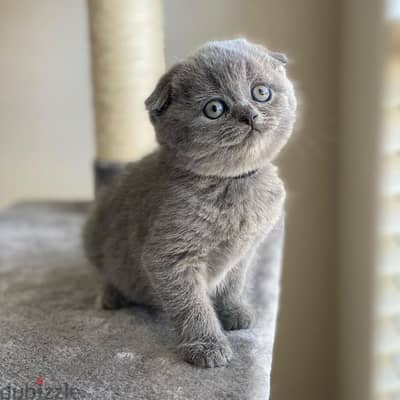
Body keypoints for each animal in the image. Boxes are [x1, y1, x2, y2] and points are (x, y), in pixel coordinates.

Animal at [83, 39, 296, 368]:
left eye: (261, 92)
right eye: (214, 109)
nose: (249, 115)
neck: (234, 183)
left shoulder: (244, 251)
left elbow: (233, 282)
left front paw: (233, 312)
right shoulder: (170, 257)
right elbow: (191, 305)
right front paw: (207, 345)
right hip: (95, 232)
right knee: (106, 272)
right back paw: (111, 296)